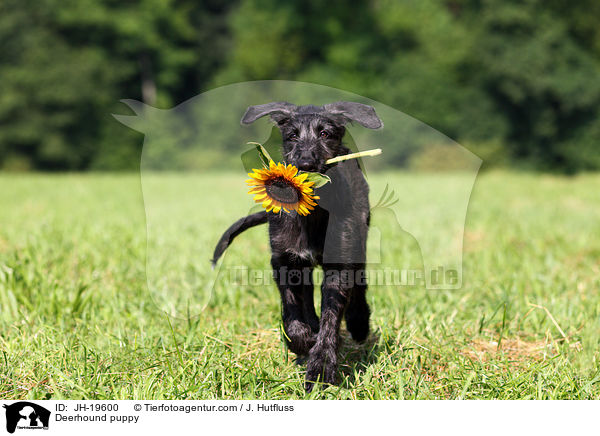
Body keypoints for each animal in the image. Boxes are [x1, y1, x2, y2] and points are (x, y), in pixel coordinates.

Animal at [213, 102, 382, 392]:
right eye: (292, 135)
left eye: (325, 134)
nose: (305, 164)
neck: (313, 210)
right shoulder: (284, 261)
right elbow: (292, 310)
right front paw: (302, 342)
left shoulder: (339, 264)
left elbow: (330, 318)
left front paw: (321, 367)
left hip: (358, 239)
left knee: (359, 283)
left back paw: (358, 322)